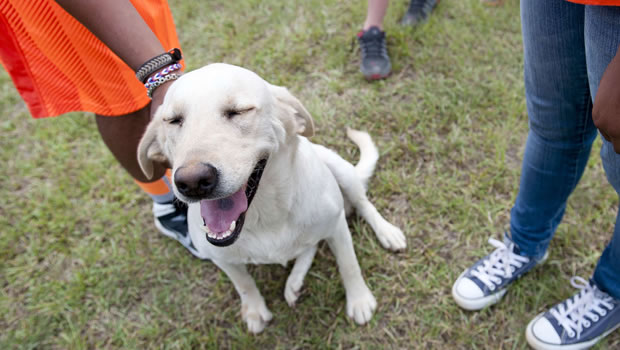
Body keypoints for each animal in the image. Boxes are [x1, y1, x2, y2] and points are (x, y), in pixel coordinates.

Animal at [137, 63, 406, 334]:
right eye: (173, 120)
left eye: (238, 111)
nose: (192, 182)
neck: (265, 214)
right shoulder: (221, 258)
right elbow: (244, 284)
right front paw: (255, 310)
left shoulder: (336, 226)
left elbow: (349, 264)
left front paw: (359, 299)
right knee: (309, 246)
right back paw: (294, 282)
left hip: (340, 170)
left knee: (362, 204)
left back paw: (387, 232)